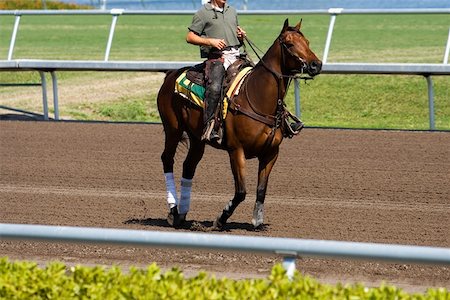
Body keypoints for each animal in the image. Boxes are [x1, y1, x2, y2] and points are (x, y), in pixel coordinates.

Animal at [156, 18, 322, 230]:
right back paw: (173, 211)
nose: (316, 65)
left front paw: (257, 220)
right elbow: (241, 191)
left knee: (188, 166)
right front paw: (220, 219)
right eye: (290, 44)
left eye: (307, 42)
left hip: (197, 139)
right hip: (173, 129)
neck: (257, 97)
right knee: (167, 160)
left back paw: (182, 215)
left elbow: (261, 189)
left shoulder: (271, 153)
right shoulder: (236, 151)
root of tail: (170, 74)